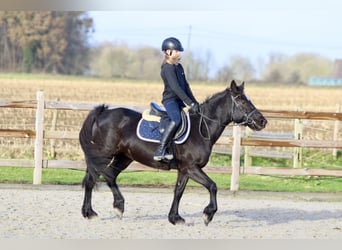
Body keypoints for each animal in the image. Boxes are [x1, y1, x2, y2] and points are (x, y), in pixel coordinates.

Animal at [80, 81, 268, 226]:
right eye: (242, 101)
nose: (262, 121)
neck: (201, 129)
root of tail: (103, 112)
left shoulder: (184, 170)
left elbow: (178, 191)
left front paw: (175, 218)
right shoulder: (192, 167)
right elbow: (212, 186)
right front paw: (208, 214)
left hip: (124, 157)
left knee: (102, 177)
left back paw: (95, 211)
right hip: (104, 154)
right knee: (101, 176)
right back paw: (111, 208)